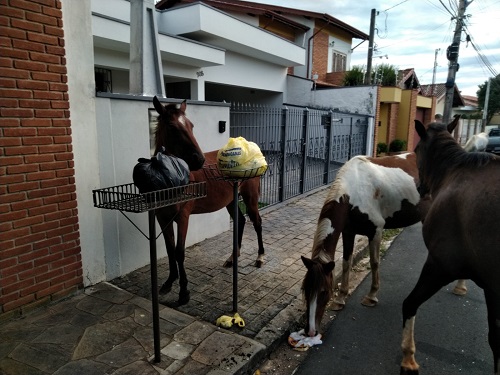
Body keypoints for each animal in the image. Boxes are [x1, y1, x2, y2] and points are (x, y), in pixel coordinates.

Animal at [400, 119, 500, 374]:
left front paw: (408, 358)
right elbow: (496, 340)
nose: (419, 187)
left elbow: (410, 304)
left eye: (417, 150)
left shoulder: (439, 266)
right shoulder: (492, 288)